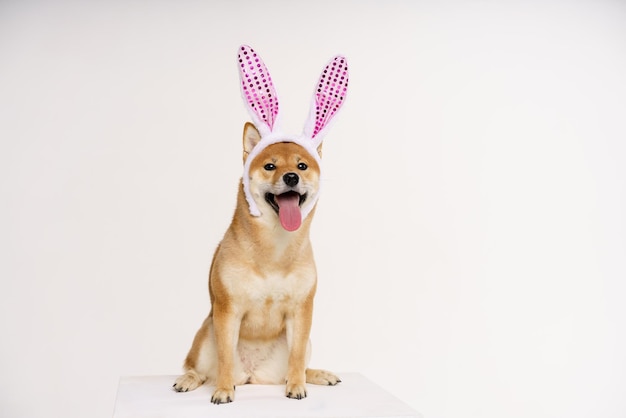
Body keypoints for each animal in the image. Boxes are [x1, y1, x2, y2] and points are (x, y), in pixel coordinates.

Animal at [172, 44, 346, 404]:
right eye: (269, 166)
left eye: (302, 165)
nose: (291, 176)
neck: (274, 250)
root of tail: (252, 375)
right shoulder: (227, 311)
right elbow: (225, 356)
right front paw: (224, 390)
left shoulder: (301, 311)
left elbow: (296, 358)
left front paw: (297, 386)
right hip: (204, 333)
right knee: (200, 367)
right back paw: (192, 380)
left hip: (297, 347)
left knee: (298, 363)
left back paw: (315, 375)